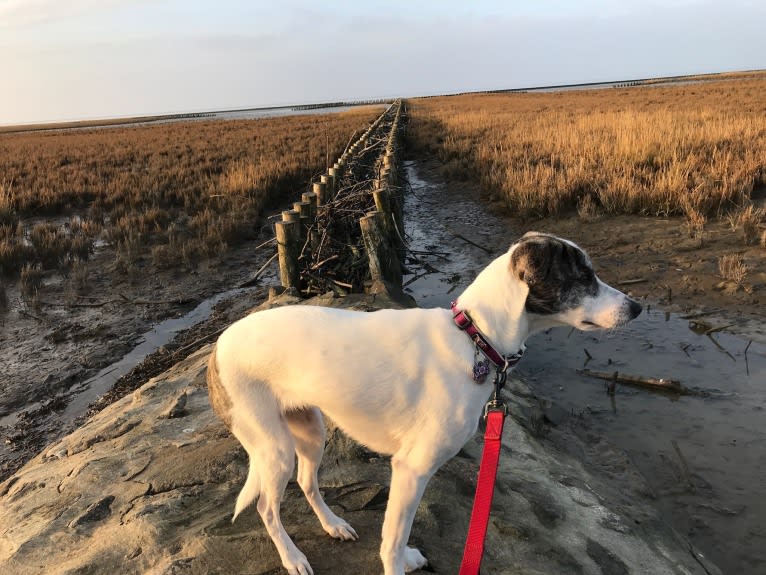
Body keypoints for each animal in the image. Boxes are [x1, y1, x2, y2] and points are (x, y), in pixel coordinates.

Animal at [207, 233, 644, 575]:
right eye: (583, 276)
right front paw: (398, 564)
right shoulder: (411, 469)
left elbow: (397, 538)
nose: (637, 308)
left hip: (310, 432)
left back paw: (334, 525)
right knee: (266, 507)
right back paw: (293, 557)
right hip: (273, 448)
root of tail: (218, 344)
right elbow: (393, 540)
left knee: (307, 481)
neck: (475, 338)